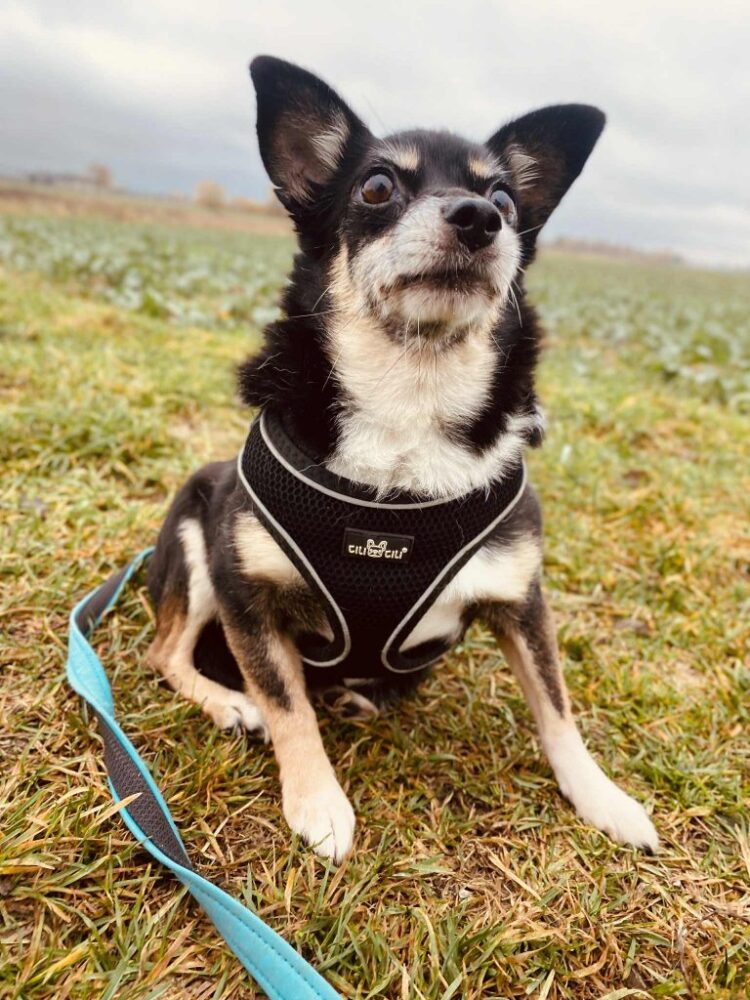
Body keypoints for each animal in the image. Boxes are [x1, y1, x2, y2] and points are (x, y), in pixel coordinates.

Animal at [146, 55, 658, 862]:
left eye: (505, 199)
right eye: (378, 186)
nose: (479, 218)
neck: (409, 401)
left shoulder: (522, 598)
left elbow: (557, 709)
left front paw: (603, 798)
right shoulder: (245, 595)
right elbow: (288, 706)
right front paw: (317, 802)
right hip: (196, 548)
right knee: (166, 656)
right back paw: (229, 703)